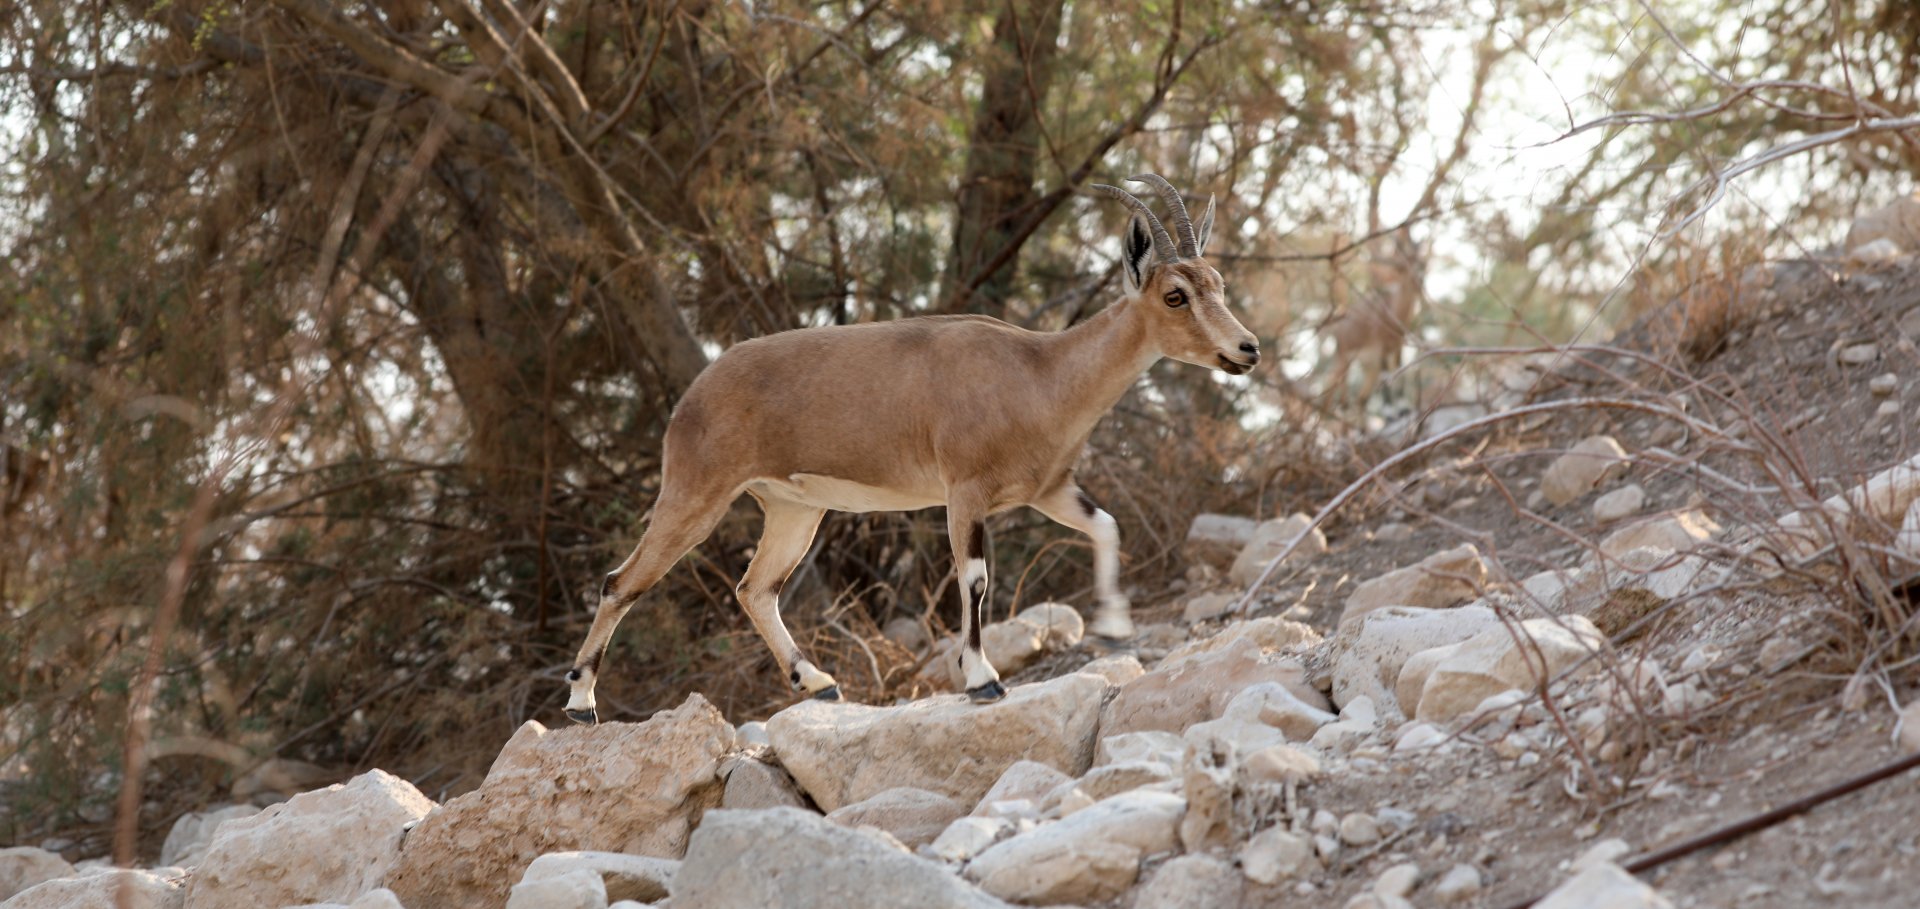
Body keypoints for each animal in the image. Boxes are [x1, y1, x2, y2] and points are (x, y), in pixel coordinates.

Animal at [563, 175, 1259, 723]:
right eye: (1175, 294)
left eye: (1219, 281)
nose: (1247, 348)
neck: (1039, 372)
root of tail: (694, 393)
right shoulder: (965, 490)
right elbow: (975, 578)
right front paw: (982, 680)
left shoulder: (1049, 490)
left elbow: (1108, 525)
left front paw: (1114, 631)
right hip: (696, 491)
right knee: (620, 582)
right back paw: (580, 703)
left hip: (793, 508)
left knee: (755, 588)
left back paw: (817, 683)